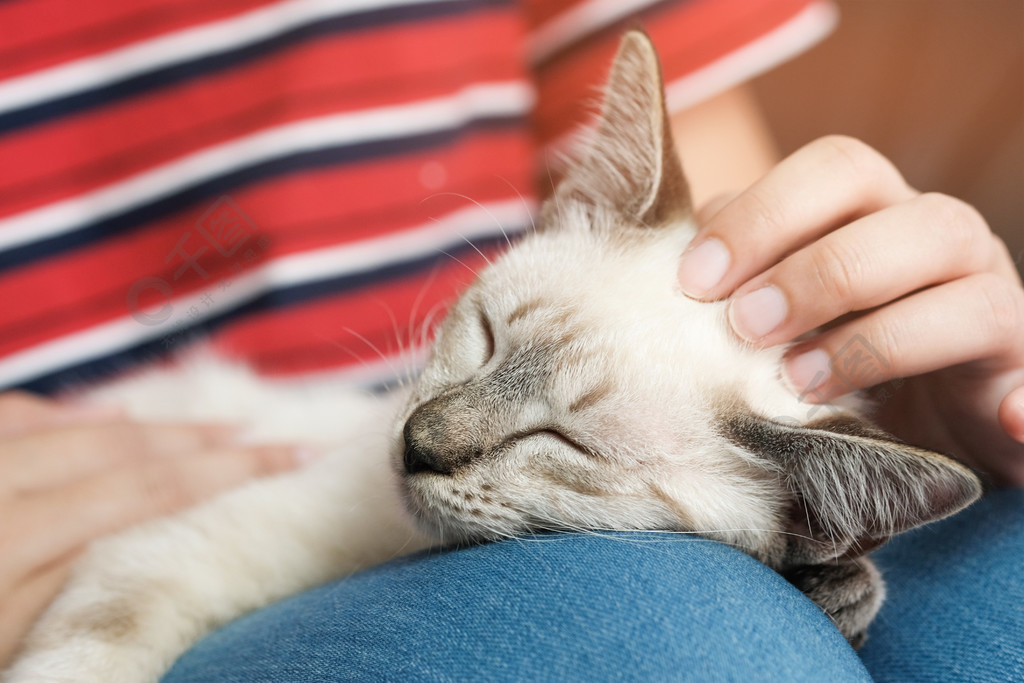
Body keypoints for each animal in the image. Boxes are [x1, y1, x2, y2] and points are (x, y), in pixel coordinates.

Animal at [8, 29, 983, 679]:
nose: (416, 444)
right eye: (483, 336)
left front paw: (835, 582)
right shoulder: (169, 554)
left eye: (560, 443)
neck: (378, 545)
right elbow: (90, 645)